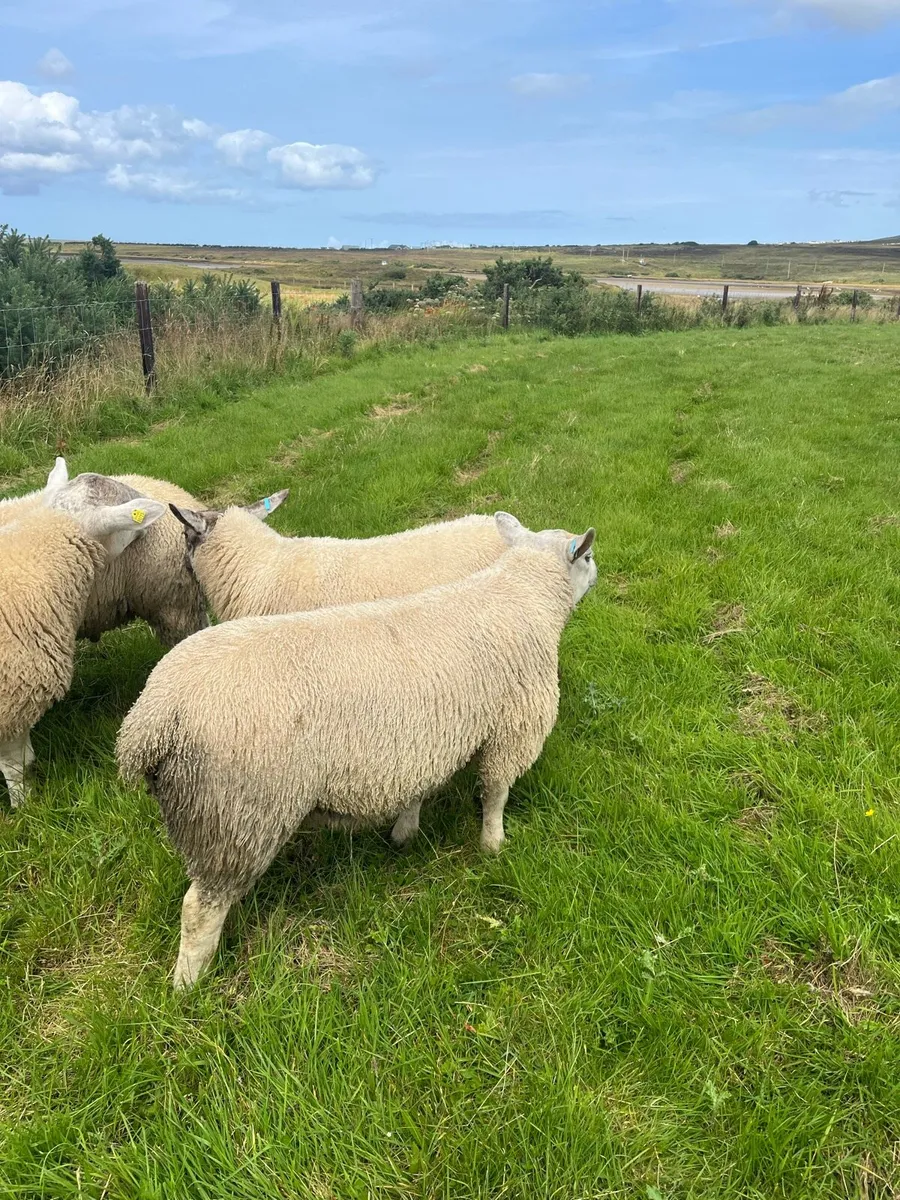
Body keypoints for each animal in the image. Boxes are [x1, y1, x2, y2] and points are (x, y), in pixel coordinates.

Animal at [116, 512, 596, 988]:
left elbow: (419, 790)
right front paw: (493, 845)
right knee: (200, 907)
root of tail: (151, 718)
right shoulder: (516, 723)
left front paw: (406, 831)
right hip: (234, 813)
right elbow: (496, 791)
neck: (520, 594)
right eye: (587, 557)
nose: (599, 571)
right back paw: (188, 984)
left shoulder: (426, 738)